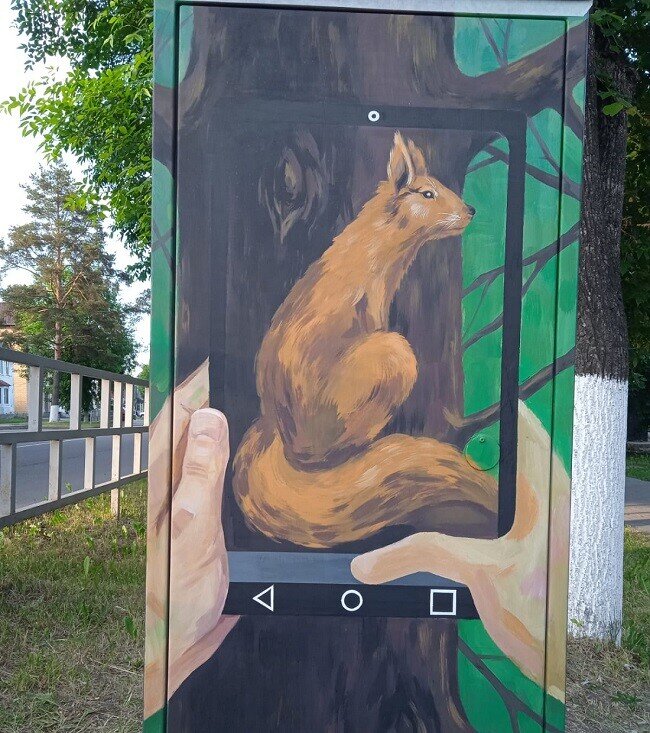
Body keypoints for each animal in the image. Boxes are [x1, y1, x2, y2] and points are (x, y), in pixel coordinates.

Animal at [233, 132, 498, 548]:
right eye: (427, 193)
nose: (470, 210)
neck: (373, 254)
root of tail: (281, 436)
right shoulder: (374, 323)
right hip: (393, 352)